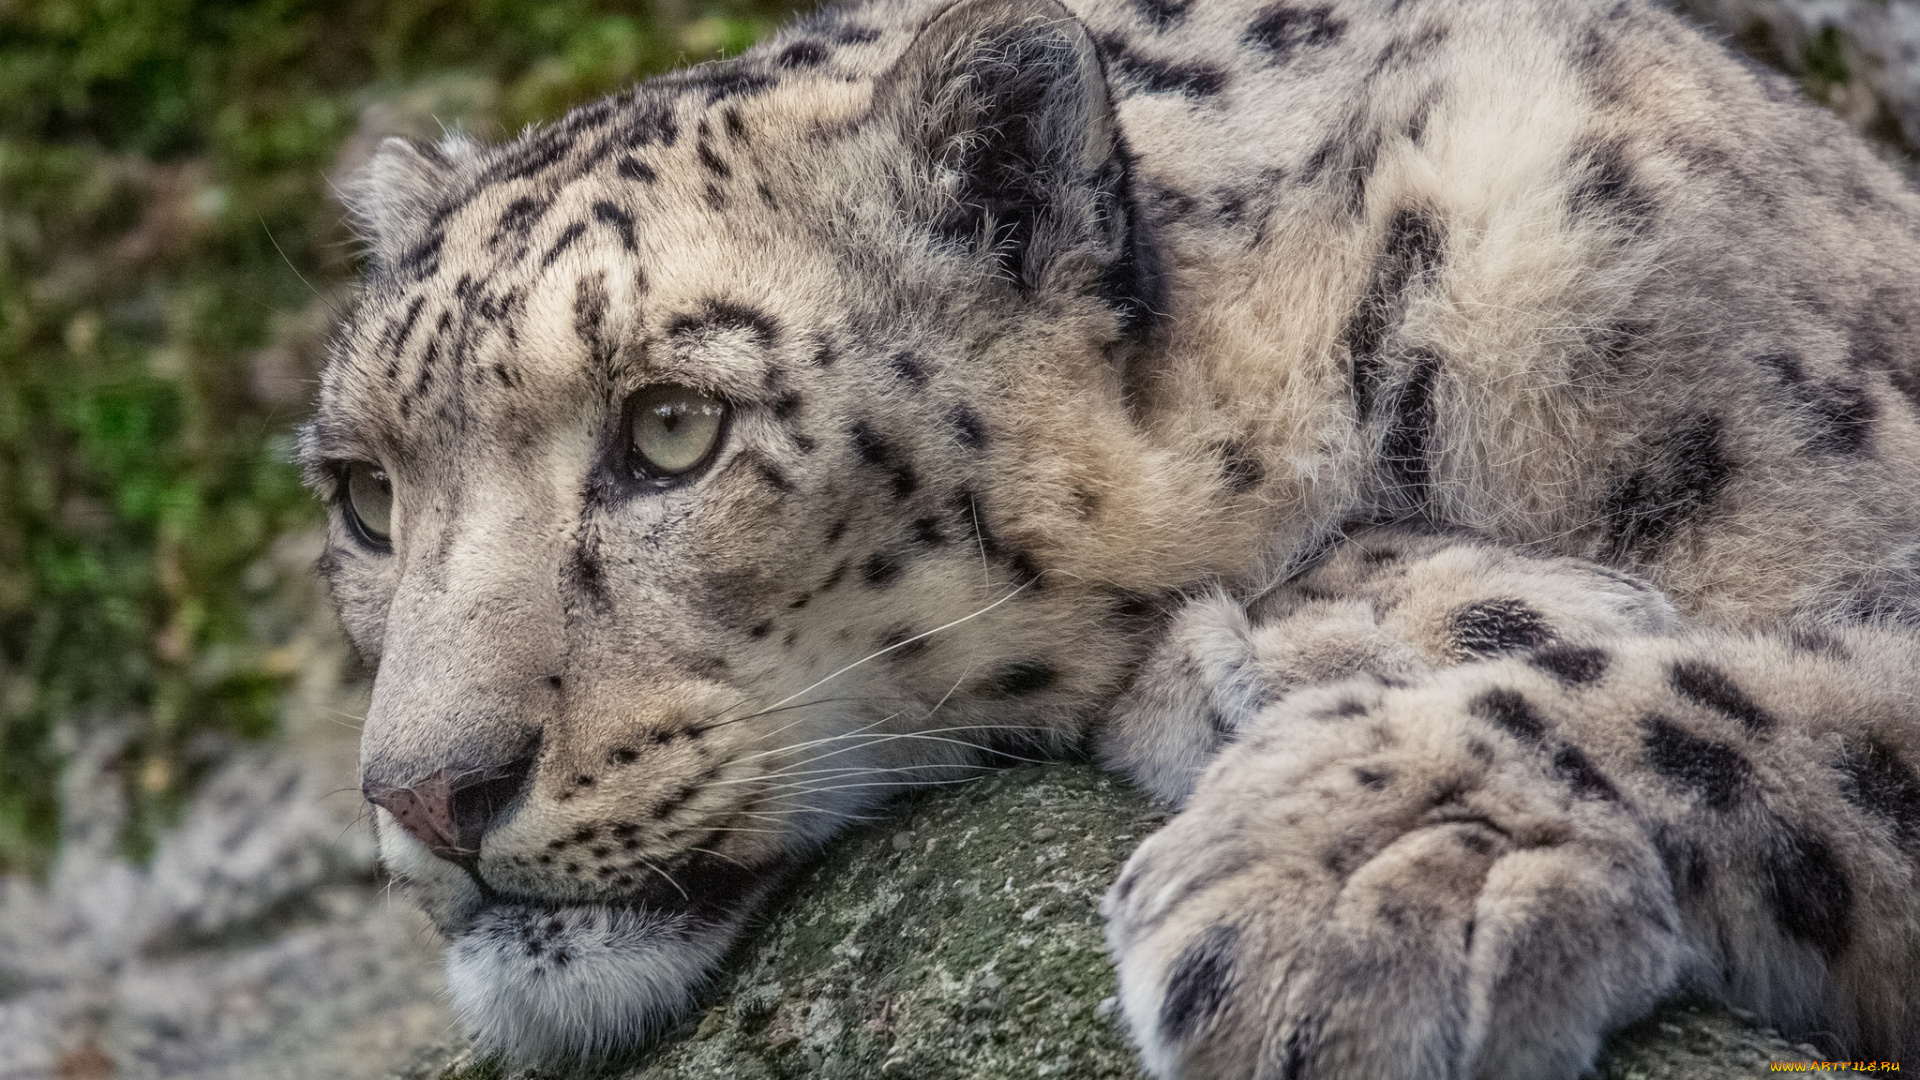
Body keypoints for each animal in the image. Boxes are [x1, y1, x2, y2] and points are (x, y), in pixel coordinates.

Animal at [301, 0, 1920, 1072]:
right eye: (366, 496)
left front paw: (1357, 868)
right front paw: (1377, 628)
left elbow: (1778, 707)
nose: (423, 796)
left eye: (674, 428)